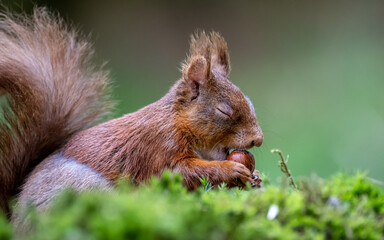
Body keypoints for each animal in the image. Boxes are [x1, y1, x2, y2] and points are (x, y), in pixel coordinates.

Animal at [0, 7, 264, 224]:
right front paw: (231, 170)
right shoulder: (158, 146)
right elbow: (180, 173)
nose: (258, 139)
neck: (178, 123)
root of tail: (15, 218)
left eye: (250, 102)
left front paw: (256, 177)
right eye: (224, 111)